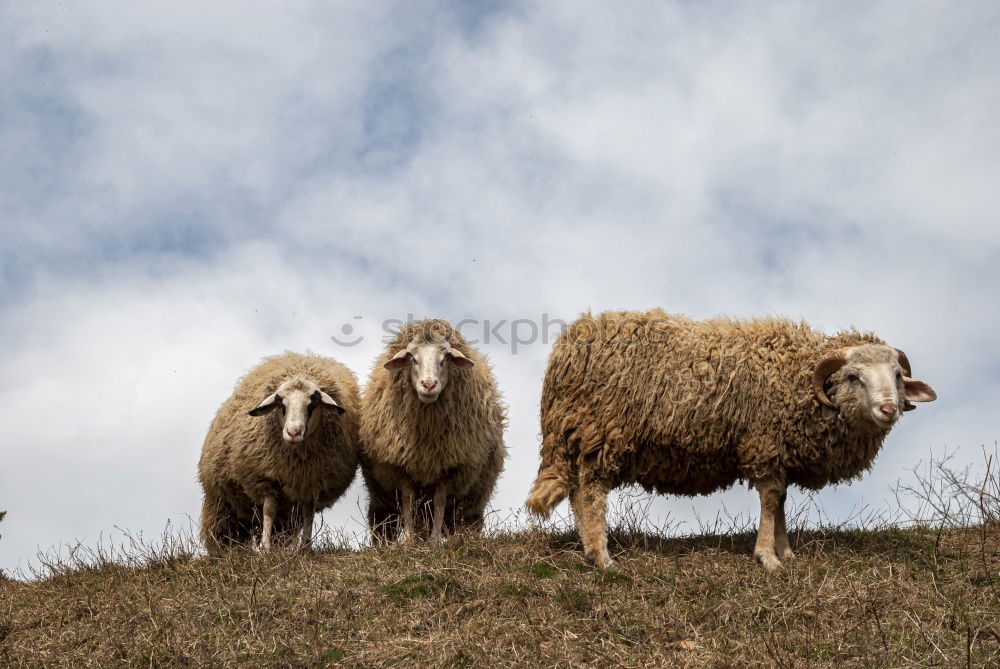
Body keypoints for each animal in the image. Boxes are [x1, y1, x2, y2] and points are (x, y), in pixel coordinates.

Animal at [197, 350, 362, 552]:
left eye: (312, 404)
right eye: (280, 403)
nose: (293, 432)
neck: (297, 462)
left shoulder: (311, 485)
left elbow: (308, 515)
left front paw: (305, 547)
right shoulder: (266, 480)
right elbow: (269, 510)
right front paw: (265, 548)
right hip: (222, 502)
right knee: (226, 529)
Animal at [358, 318, 504, 544]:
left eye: (446, 357)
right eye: (411, 357)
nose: (428, 384)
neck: (426, 437)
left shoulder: (450, 469)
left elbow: (439, 501)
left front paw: (434, 541)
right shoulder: (401, 468)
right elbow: (408, 500)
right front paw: (408, 541)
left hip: (472, 506)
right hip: (382, 505)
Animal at [524, 310, 936, 568]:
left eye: (897, 376)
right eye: (853, 377)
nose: (889, 409)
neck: (797, 380)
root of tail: (567, 348)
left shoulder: (778, 452)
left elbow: (780, 501)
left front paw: (786, 551)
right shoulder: (764, 443)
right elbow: (770, 500)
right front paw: (767, 557)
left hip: (583, 435)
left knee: (578, 491)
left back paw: (590, 550)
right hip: (600, 431)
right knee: (590, 492)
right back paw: (602, 557)